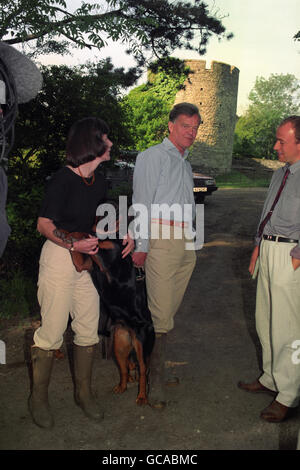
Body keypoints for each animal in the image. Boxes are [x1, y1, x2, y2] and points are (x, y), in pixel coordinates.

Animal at [54, 228, 156, 404]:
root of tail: (130, 331)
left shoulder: (104, 257)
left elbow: (89, 240)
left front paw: (71, 236)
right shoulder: (84, 265)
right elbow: (79, 247)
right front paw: (65, 234)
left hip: (142, 345)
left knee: (144, 370)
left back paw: (142, 396)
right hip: (119, 347)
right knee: (124, 369)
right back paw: (122, 386)